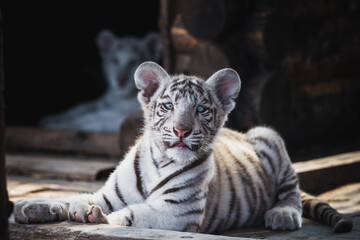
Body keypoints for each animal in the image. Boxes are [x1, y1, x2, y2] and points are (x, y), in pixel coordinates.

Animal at [12, 61, 352, 232]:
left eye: (201, 109)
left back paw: (282, 215)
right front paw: (32, 208)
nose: (181, 130)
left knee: (292, 190)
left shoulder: (176, 212)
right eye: (167, 106)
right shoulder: (108, 194)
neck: (159, 162)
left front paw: (99, 218)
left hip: (267, 135)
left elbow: (131, 215)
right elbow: (71, 197)